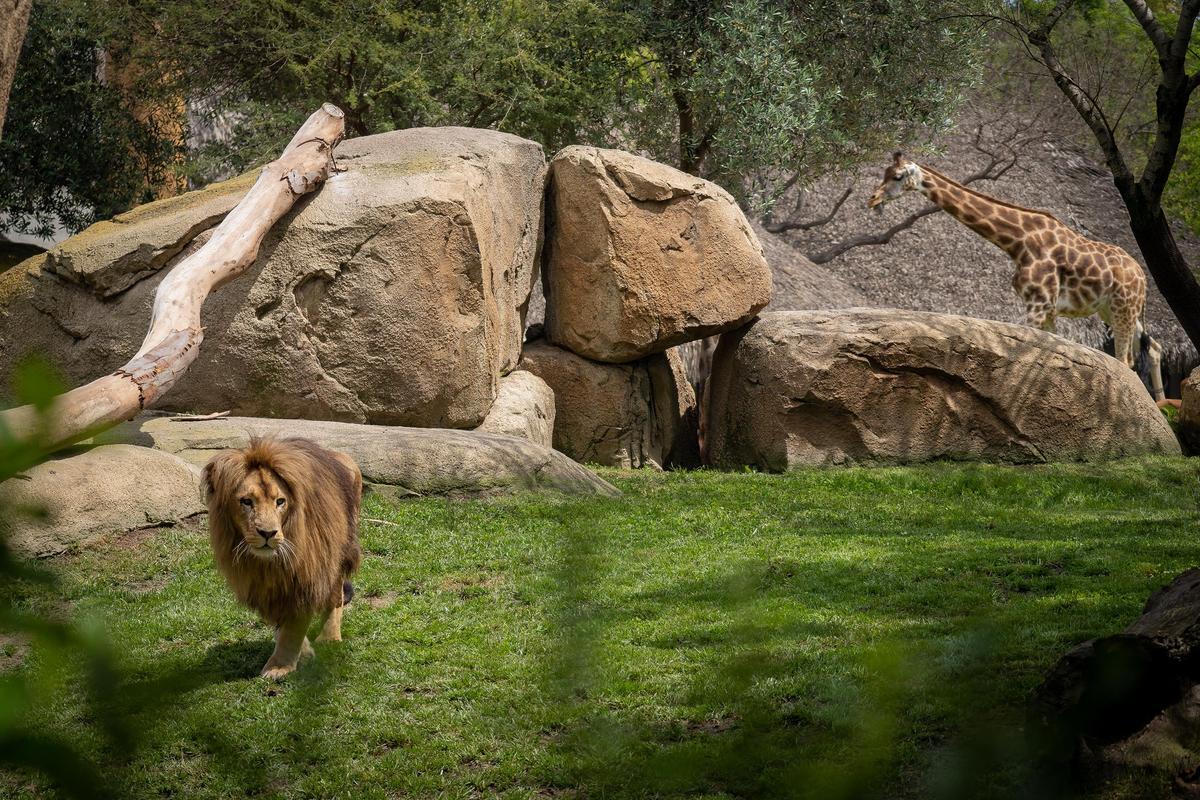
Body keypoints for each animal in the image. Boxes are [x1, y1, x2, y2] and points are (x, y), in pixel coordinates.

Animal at [204, 438, 362, 676]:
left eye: (280, 501)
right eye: (246, 501)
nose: (268, 533)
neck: (267, 564)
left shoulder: (307, 575)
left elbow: (294, 626)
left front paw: (279, 666)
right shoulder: (262, 586)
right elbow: (281, 624)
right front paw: (303, 653)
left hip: (339, 550)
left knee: (335, 596)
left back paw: (329, 637)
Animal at [873, 151, 1161, 402]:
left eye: (897, 176)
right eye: (884, 172)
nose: (873, 199)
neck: (1018, 241)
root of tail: (1143, 277)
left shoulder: (1038, 304)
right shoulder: (1047, 309)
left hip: (1123, 308)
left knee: (1126, 360)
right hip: (1114, 311)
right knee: (1150, 349)